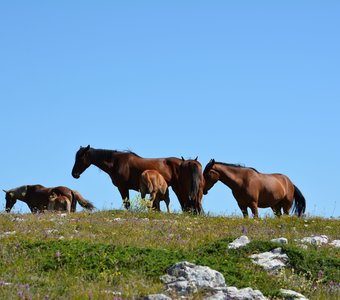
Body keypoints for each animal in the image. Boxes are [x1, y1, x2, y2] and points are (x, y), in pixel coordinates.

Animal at [71, 146, 203, 213]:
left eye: (80, 158)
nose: (74, 174)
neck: (116, 163)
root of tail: (188, 162)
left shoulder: (123, 188)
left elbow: (127, 204)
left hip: (180, 189)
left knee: (188, 204)